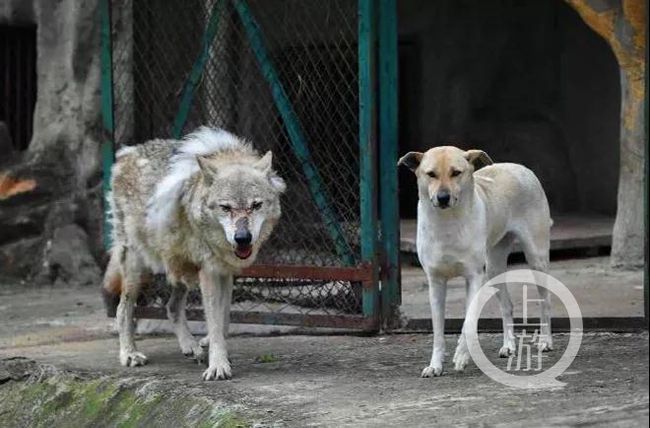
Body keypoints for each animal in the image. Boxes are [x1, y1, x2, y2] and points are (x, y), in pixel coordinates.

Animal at [102, 125, 284, 380]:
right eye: (225, 207)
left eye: (256, 205)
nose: (242, 238)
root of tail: (126, 154)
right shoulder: (209, 271)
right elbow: (214, 322)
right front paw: (218, 366)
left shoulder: (224, 271)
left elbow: (223, 320)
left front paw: (217, 352)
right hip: (138, 266)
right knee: (122, 309)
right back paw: (129, 354)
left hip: (181, 265)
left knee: (171, 307)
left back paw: (191, 347)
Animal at [394, 147, 552, 378]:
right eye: (430, 174)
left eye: (456, 173)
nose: (443, 198)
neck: (447, 222)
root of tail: (519, 167)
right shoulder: (435, 283)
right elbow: (438, 332)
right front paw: (435, 365)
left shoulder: (475, 277)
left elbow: (468, 322)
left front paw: (461, 355)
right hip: (494, 268)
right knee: (507, 305)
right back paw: (509, 346)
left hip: (536, 259)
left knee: (545, 302)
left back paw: (545, 341)